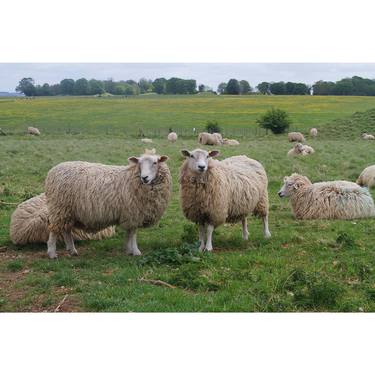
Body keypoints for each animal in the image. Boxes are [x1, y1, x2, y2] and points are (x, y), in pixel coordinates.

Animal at [44, 151, 173, 260]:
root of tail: (52, 171)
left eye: (155, 163)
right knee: (54, 231)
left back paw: (72, 251)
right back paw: (52, 253)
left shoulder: (129, 214)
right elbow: (133, 233)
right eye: (139, 163)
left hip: (68, 211)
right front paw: (136, 251)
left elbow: (129, 233)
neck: (133, 178)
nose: (144, 177)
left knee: (66, 230)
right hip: (59, 208)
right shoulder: (133, 212)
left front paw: (128, 250)